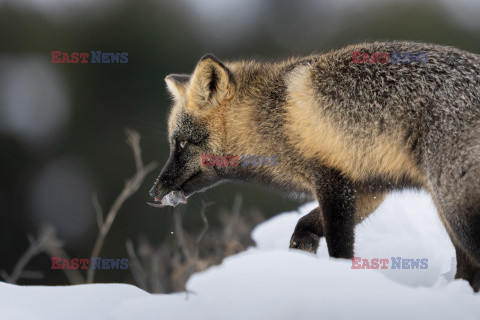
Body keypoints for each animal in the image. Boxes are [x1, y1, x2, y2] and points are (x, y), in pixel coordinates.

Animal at [150, 40, 480, 292]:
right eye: (174, 142)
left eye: (182, 143)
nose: (154, 191)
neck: (274, 118)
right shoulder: (368, 190)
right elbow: (303, 225)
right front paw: (302, 256)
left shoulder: (334, 183)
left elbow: (340, 252)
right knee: (467, 269)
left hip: (456, 210)